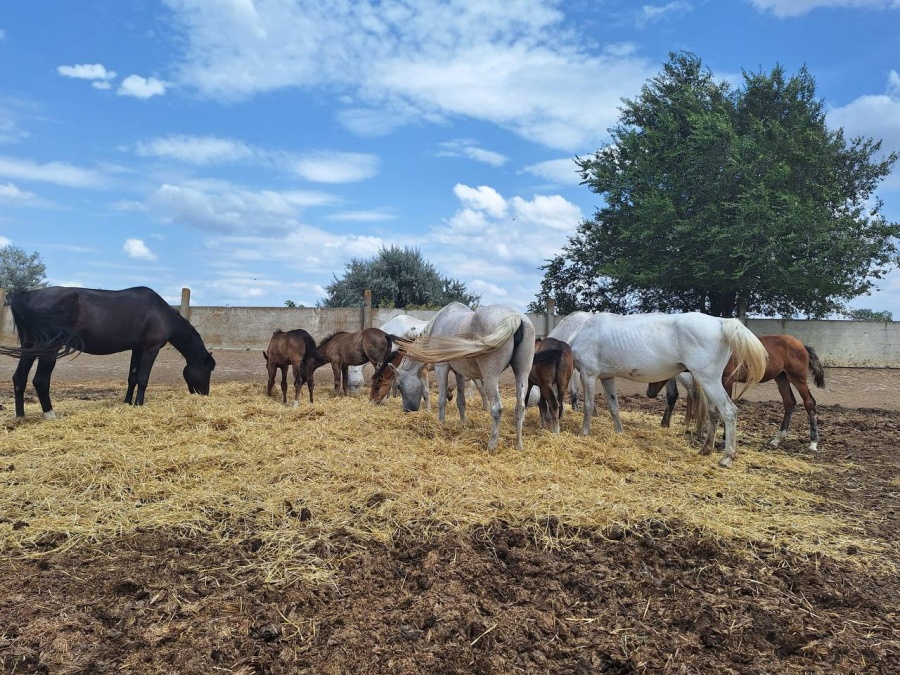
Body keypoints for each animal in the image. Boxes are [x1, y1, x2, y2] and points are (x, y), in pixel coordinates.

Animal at [1, 286, 216, 422]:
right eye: (207, 371)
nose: (204, 394)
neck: (160, 312)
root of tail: (29, 295)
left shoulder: (137, 349)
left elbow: (132, 377)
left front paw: (128, 402)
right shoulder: (150, 349)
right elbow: (143, 378)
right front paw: (139, 404)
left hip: (30, 346)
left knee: (19, 378)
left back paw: (20, 416)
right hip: (49, 349)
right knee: (40, 380)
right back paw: (50, 415)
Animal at [394, 302, 536, 452]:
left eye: (399, 385)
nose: (407, 410)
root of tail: (516, 317)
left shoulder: (441, 367)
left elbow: (441, 400)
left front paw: (441, 423)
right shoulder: (460, 373)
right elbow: (461, 401)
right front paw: (463, 424)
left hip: (491, 376)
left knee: (497, 407)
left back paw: (491, 445)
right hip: (522, 373)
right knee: (520, 406)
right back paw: (519, 445)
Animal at [568, 312, 768, 468]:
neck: (582, 332)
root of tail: (720, 322)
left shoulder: (588, 375)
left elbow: (588, 406)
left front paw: (584, 433)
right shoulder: (607, 378)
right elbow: (614, 406)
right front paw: (620, 432)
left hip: (708, 380)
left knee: (729, 411)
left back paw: (727, 457)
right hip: (708, 382)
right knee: (713, 412)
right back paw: (705, 449)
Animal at [644, 336, 828, 452]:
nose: (649, 392)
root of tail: (802, 345)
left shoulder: (727, 380)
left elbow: (725, 408)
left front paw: (724, 439)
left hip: (797, 377)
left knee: (809, 403)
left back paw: (813, 443)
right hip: (781, 377)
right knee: (789, 403)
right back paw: (777, 439)